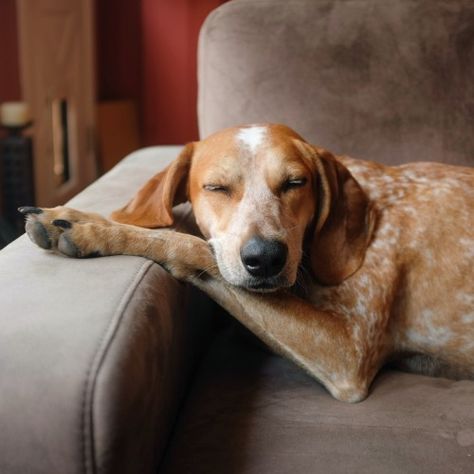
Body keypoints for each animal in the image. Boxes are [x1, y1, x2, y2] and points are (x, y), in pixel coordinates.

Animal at [20, 124, 474, 402]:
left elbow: (188, 244)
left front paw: (92, 227)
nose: (266, 258)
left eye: (295, 183)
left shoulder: (348, 350)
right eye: (216, 188)